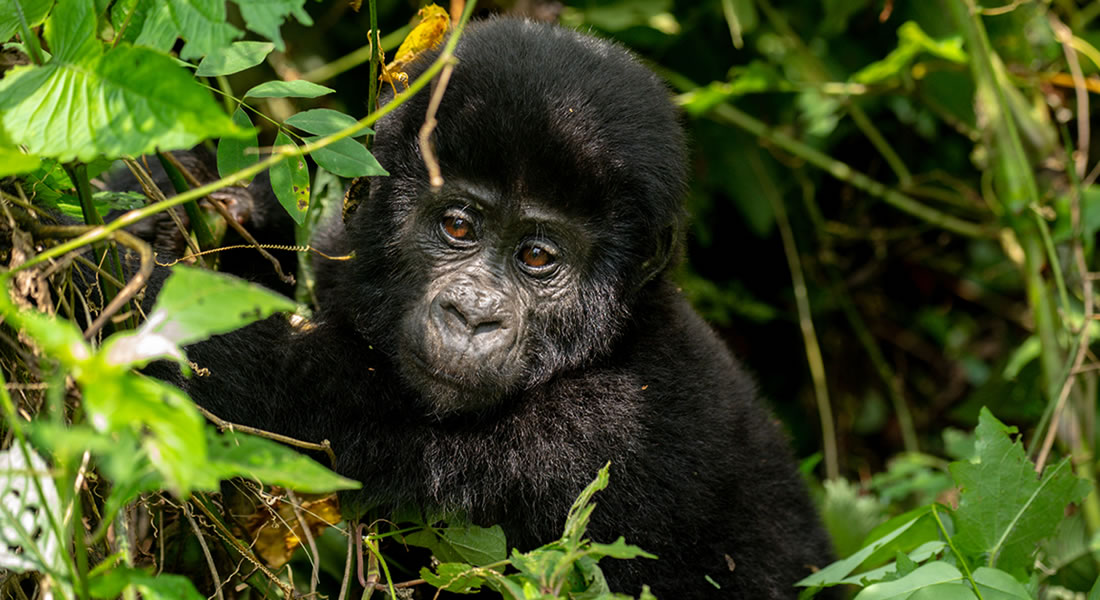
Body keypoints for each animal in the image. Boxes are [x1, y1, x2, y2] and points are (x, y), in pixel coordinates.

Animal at [157, 16, 831, 594]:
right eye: (458, 225)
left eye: (537, 256)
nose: (473, 315)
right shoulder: (344, 255)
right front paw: (200, 198)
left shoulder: (609, 431)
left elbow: (281, 397)